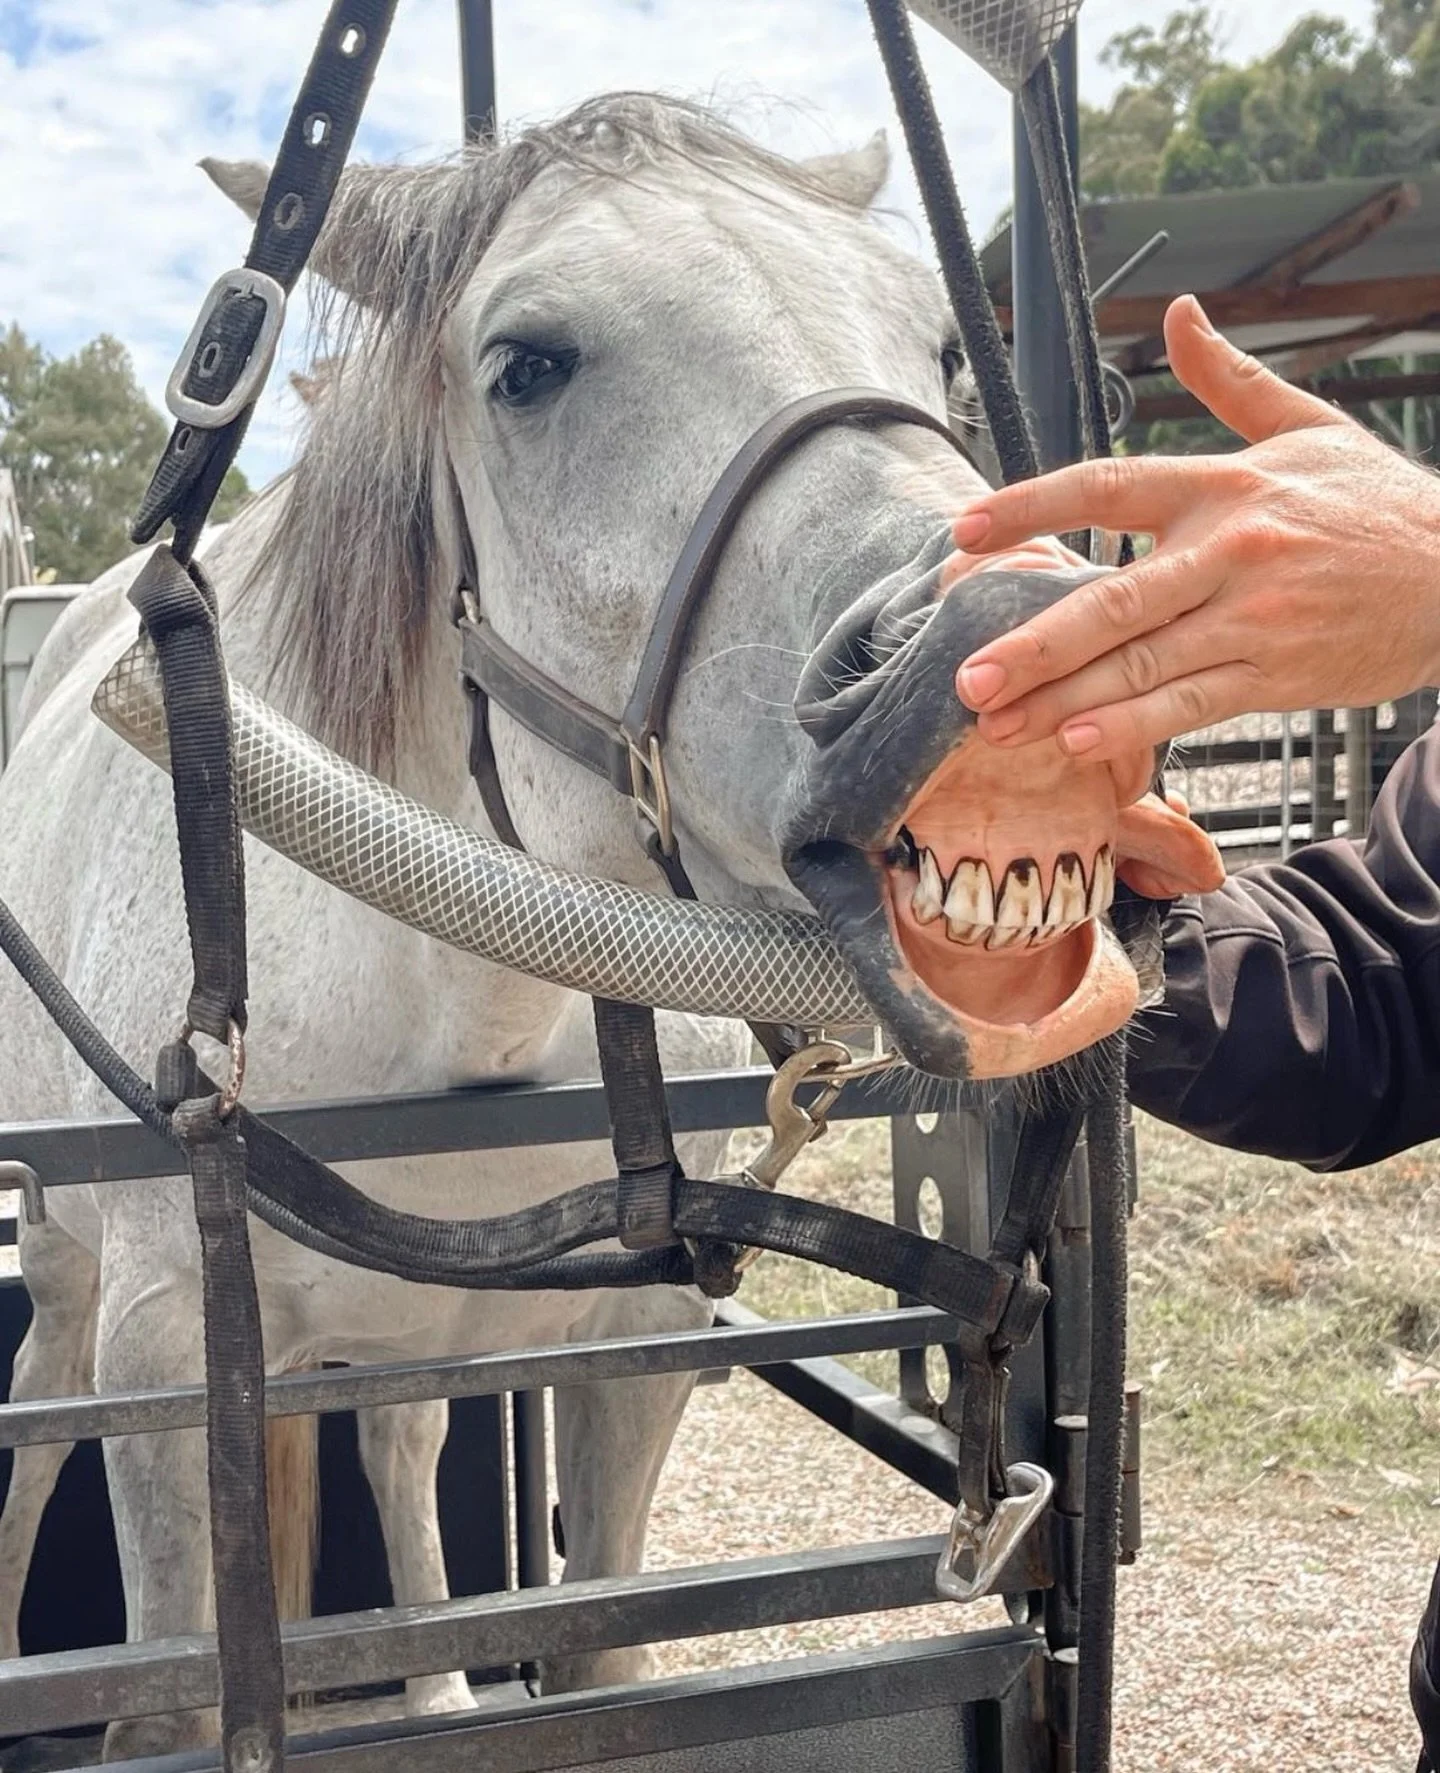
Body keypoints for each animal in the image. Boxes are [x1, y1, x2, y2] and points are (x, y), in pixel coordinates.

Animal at [0, 93, 1222, 1760]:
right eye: (528, 363)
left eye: (943, 346)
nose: (1009, 655)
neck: (459, 1012)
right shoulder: (165, 1359)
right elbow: (161, 1698)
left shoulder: (628, 1353)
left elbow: (594, 1661)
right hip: (72, 1280)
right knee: (38, 1412)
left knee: (399, 1442)